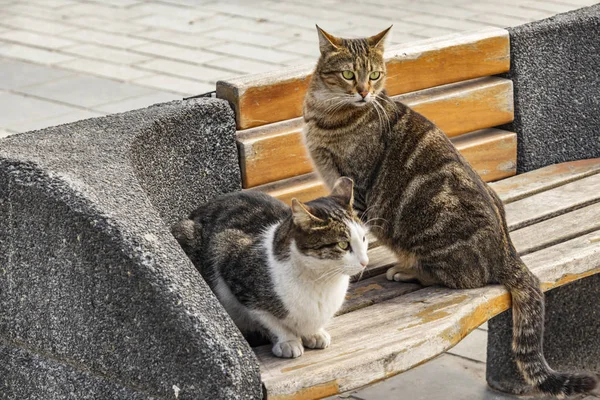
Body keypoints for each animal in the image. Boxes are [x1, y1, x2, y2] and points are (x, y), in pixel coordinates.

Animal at [171, 178, 368, 360]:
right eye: (343, 245)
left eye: (364, 238)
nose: (365, 262)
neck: (321, 281)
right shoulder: (227, 255)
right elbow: (269, 320)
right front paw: (288, 341)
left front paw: (314, 333)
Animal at [304, 26, 600, 396]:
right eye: (348, 75)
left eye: (374, 75)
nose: (364, 93)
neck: (326, 113)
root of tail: (509, 252)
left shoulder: (356, 185)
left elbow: (356, 230)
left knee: (462, 278)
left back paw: (408, 270)